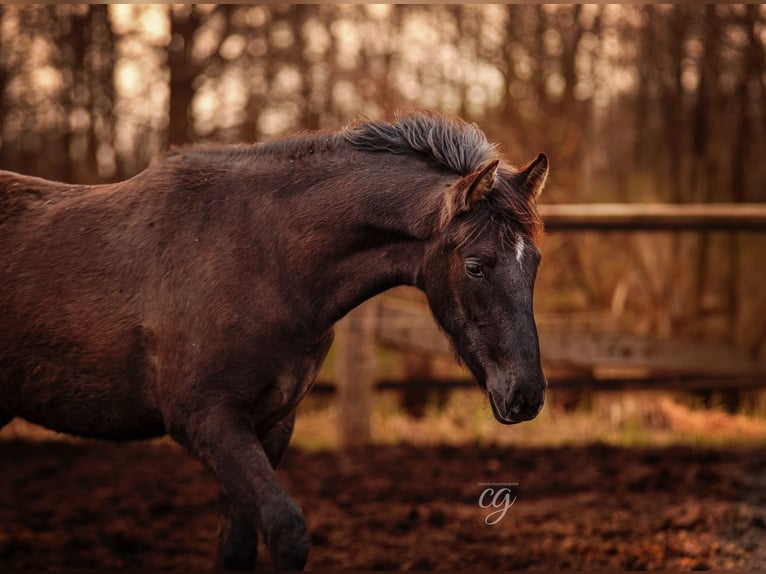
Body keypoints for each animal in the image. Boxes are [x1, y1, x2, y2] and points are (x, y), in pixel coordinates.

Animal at [1, 111, 552, 572]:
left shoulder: (271, 423)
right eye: (476, 266)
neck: (265, 259)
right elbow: (286, 531)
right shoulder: (209, 423)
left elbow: (238, 547)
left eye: (535, 264)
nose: (525, 395)